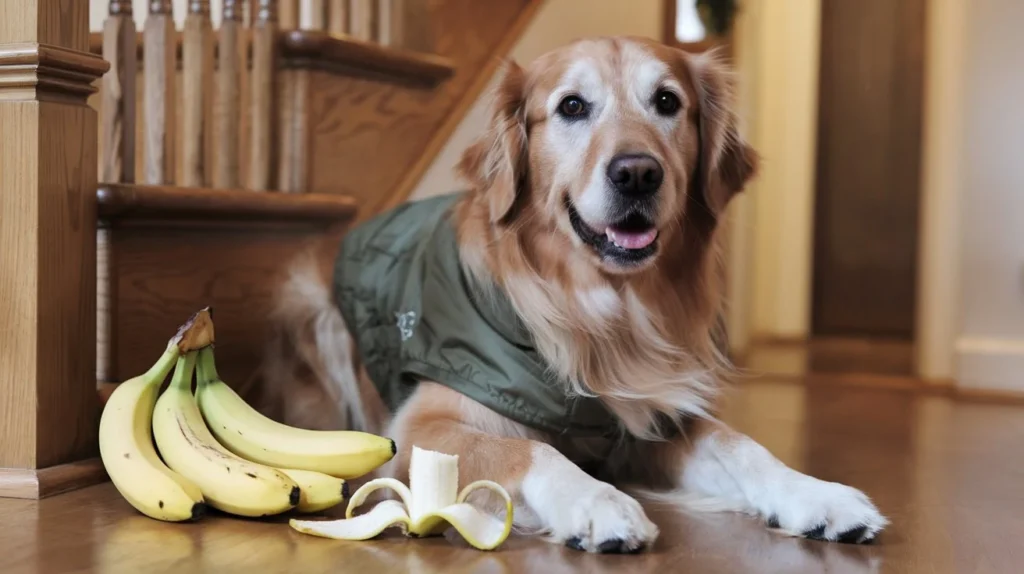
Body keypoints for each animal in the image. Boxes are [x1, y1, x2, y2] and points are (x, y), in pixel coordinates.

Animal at [266, 34, 888, 552]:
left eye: (667, 102)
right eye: (571, 107)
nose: (637, 173)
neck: (602, 313)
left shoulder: (650, 418)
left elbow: (740, 445)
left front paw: (815, 494)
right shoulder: (421, 426)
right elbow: (528, 448)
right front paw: (596, 500)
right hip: (310, 307)